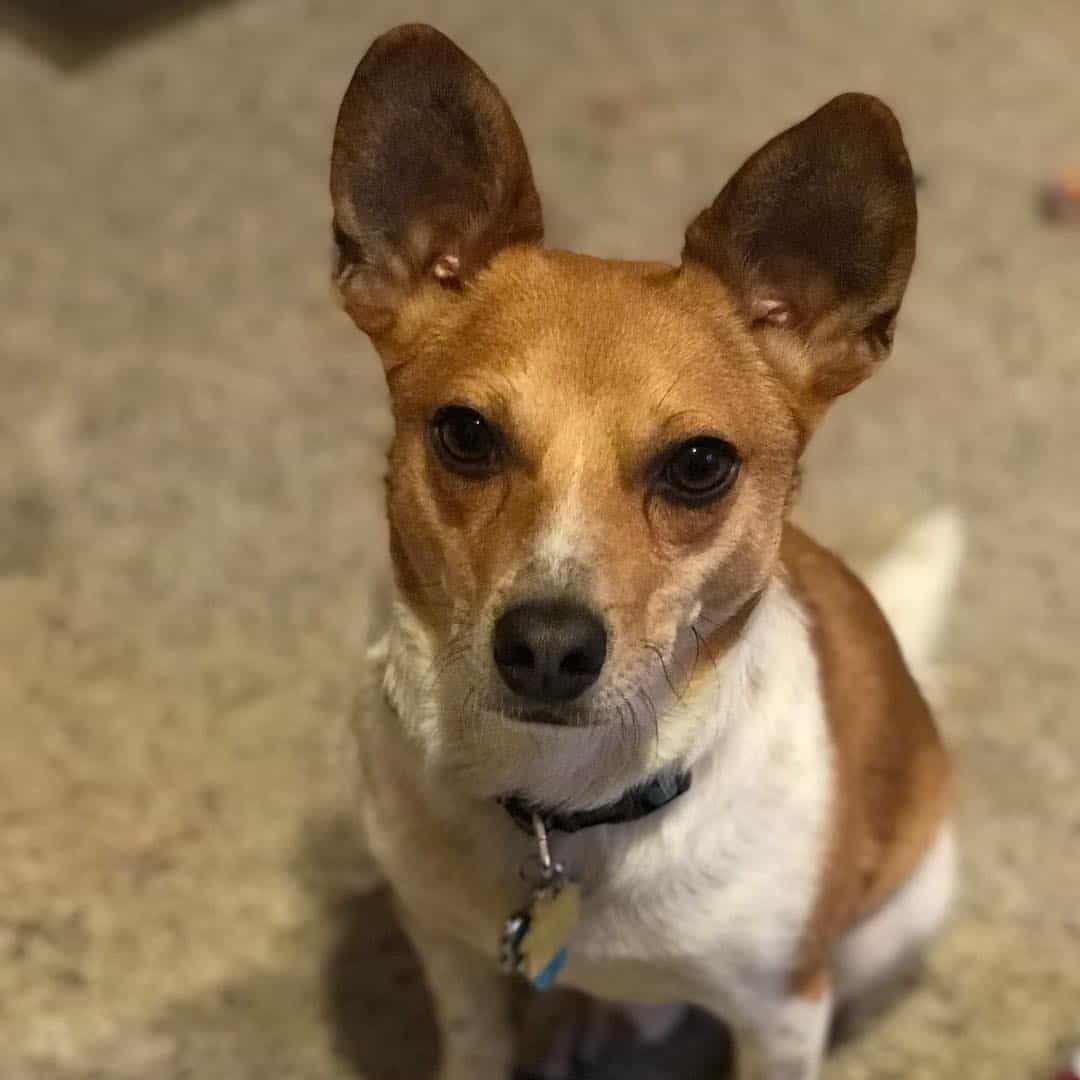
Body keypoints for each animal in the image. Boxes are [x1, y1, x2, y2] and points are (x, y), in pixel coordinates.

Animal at [332, 25, 967, 1080]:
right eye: (465, 434)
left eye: (700, 464)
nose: (546, 648)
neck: (561, 806)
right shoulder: (447, 950)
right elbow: (475, 1042)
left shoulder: (781, 1014)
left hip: (894, 919)